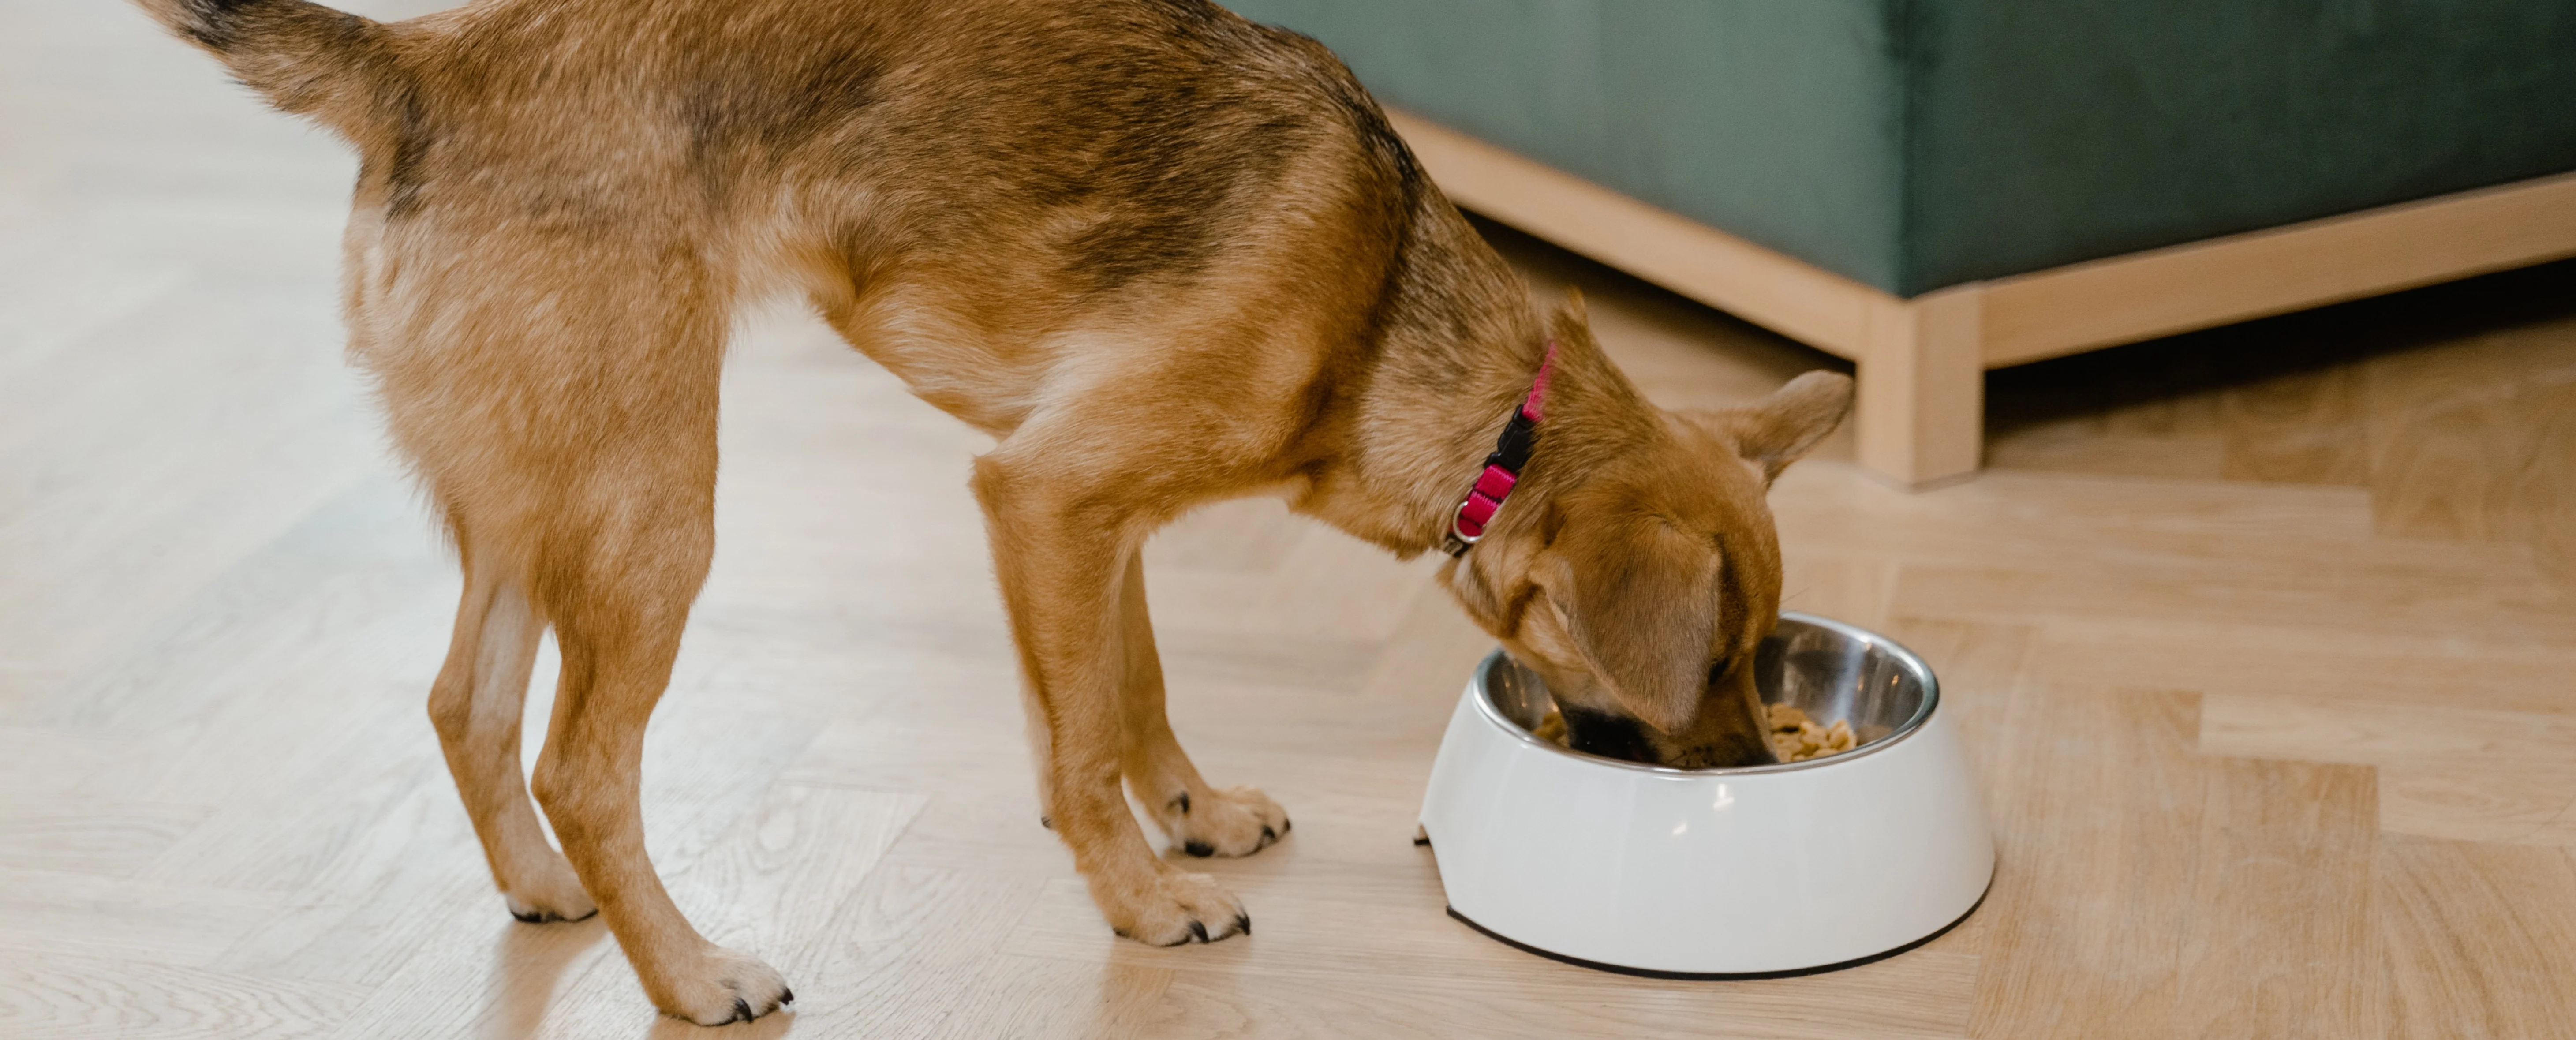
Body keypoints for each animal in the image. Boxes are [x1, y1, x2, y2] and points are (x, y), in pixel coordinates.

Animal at [146, 0, 1854, 1024]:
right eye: (1715, 662)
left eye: (1761, 657)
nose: (1756, 780)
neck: (1401, 330)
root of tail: (430, 65)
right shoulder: (1047, 491)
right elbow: (1085, 736)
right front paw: (1146, 900)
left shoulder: (1094, 512)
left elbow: (1126, 688)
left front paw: (1191, 814)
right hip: (655, 511)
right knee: (582, 763)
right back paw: (693, 974)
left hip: (535, 496)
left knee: (464, 702)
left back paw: (542, 888)